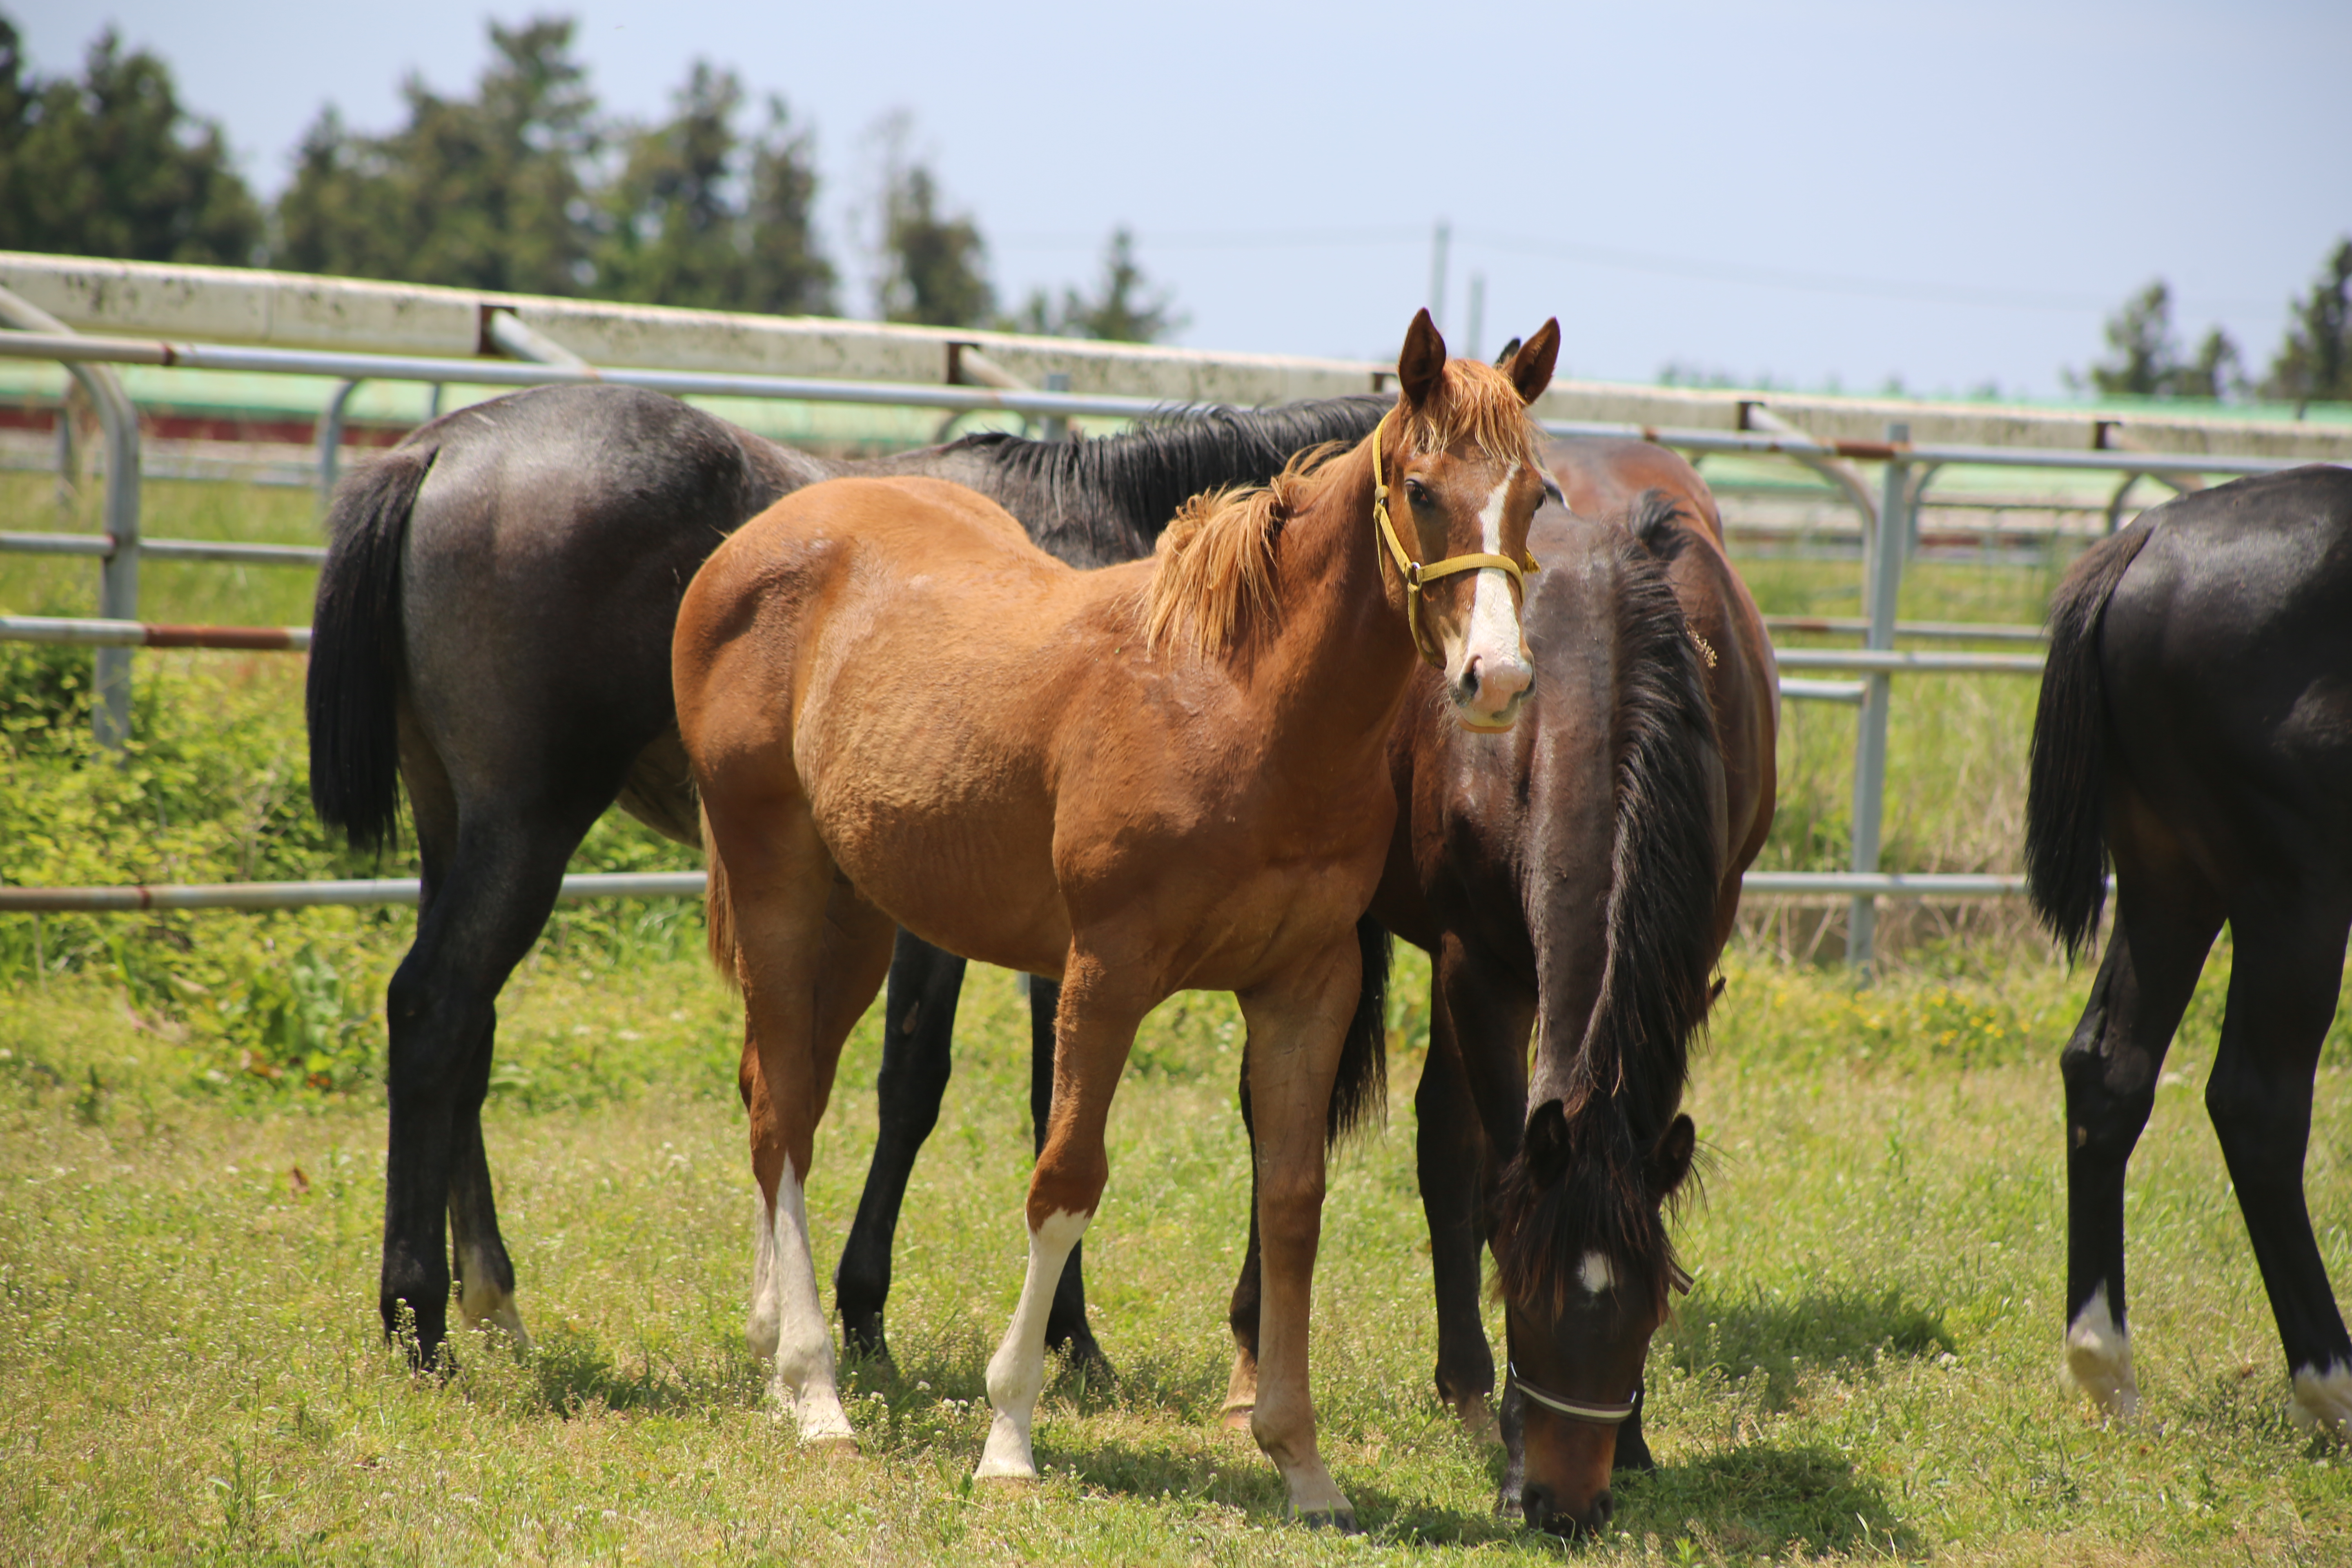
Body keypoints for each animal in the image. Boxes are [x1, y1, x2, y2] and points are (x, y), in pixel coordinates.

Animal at [294, 383, 1392, 1373]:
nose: (1257, 1323)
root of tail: (436, 449)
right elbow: (953, 1089)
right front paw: (1016, 1333)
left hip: (458, 827)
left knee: (464, 1035)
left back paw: (493, 1303)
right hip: (527, 823)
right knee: (435, 1009)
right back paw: (418, 1318)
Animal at [682, 312, 1561, 1523]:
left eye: (1536, 494)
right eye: (1422, 490)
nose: (1498, 680)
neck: (1239, 703)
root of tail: (751, 543)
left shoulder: (1305, 987)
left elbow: (1292, 1200)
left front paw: (1300, 1459)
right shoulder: (1105, 970)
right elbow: (1065, 1182)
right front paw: (1010, 1437)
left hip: (857, 918)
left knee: (781, 1096)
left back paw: (776, 1356)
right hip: (779, 889)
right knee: (785, 1121)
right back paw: (818, 1398)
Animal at [846, 432, 1778, 1532]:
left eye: (1652, 1301)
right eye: (1527, 1290)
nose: (1563, 1505)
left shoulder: (1686, 965)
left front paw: (1631, 1441)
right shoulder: (1477, 963)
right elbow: (1474, 1169)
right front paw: (1492, 1416)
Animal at [2022, 463, 2352, 1439]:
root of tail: (2150, 541)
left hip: (2171, 882)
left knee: (2109, 1070)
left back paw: (2105, 1365)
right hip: (2296, 895)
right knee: (2256, 1106)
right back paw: (2331, 1384)